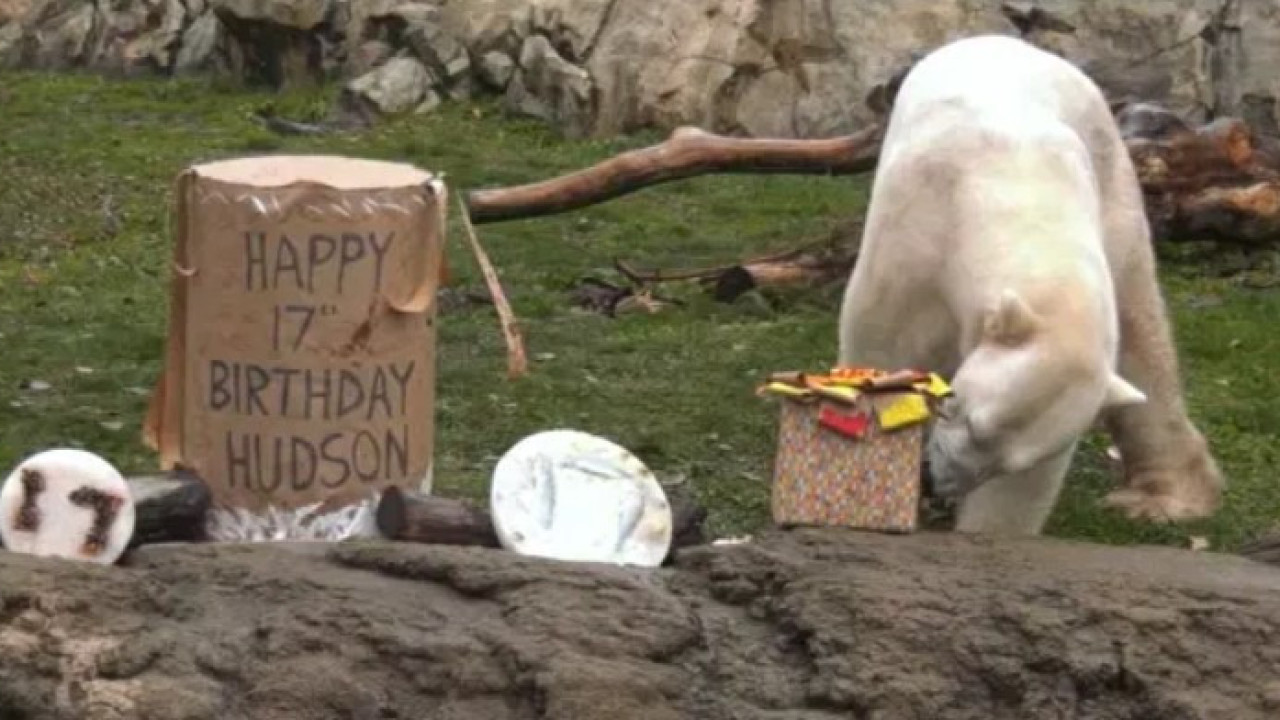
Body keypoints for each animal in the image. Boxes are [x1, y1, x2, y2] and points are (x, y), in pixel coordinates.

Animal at [834, 36, 1223, 535]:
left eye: (1007, 459)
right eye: (967, 416)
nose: (938, 482)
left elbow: (1020, 490)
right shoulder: (914, 242)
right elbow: (884, 351)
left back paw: (1168, 497)